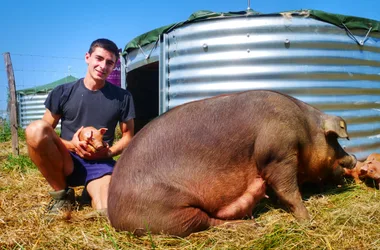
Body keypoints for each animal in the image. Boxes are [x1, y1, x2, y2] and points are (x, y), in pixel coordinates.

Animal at [107, 89, 356, 236]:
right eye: (335, 140)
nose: (353, 159)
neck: (305, 128)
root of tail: (114, 215)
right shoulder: (278, 154)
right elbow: (288, 190)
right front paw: (307, 220)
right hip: (169, 213)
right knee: (207, 222)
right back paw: (253, 225)